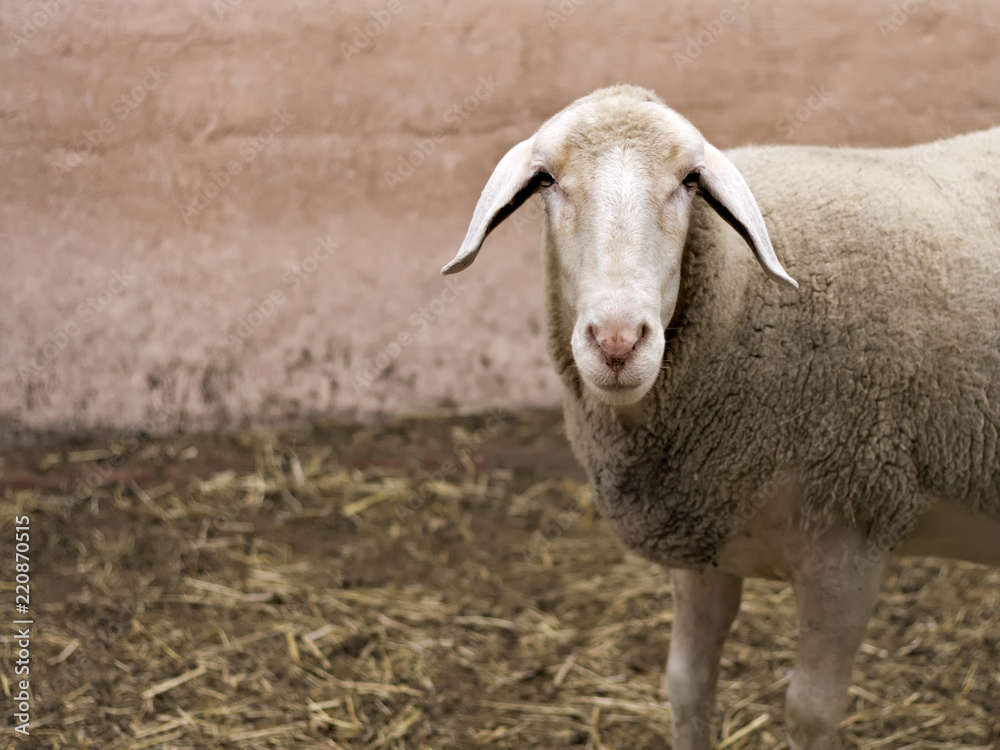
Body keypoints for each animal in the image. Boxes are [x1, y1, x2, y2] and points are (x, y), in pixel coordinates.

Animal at [440, 84, 1000, 749]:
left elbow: (810, 712)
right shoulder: (704, 538)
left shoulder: (851, 538)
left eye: (690, 179)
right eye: (546, 178)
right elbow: (686, 685)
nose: (618, 342)